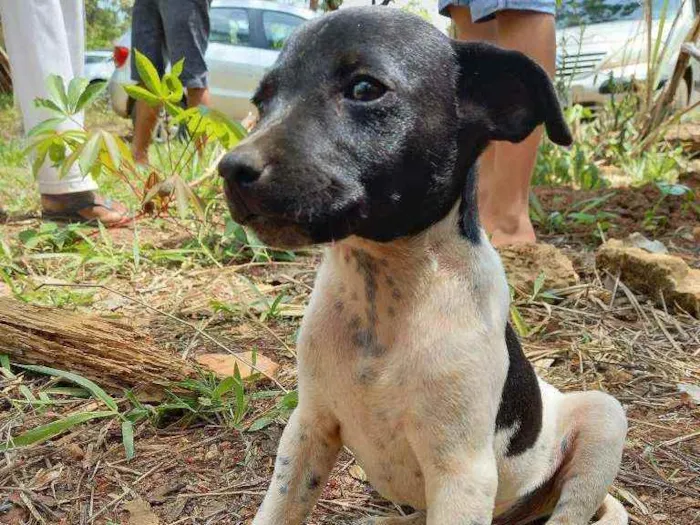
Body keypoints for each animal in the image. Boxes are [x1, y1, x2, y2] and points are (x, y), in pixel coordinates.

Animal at [219, 8, 628, 524]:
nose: (230, 169)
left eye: (365, 88)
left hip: (605, 418)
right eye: (262, 100)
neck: (384, 296)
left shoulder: (462, 474)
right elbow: (279, 507)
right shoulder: (308, 427)